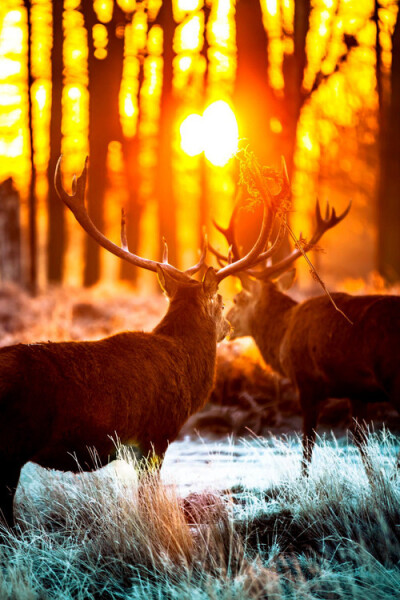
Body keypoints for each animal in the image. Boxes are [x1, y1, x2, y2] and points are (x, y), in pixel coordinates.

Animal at [0, 155, 278, 524]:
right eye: (220, 301)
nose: (229, 327)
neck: (188, 372)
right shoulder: (155, 437)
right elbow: (147, 499)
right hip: (12, 445)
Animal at [211, 161, 398, 478]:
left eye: (237, 300)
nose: (227, 327)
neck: (283, 336)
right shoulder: (356, 391)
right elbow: (362, 444)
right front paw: (375, 483)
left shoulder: (307, 383)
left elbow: (308, 445)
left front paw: (303, 482)